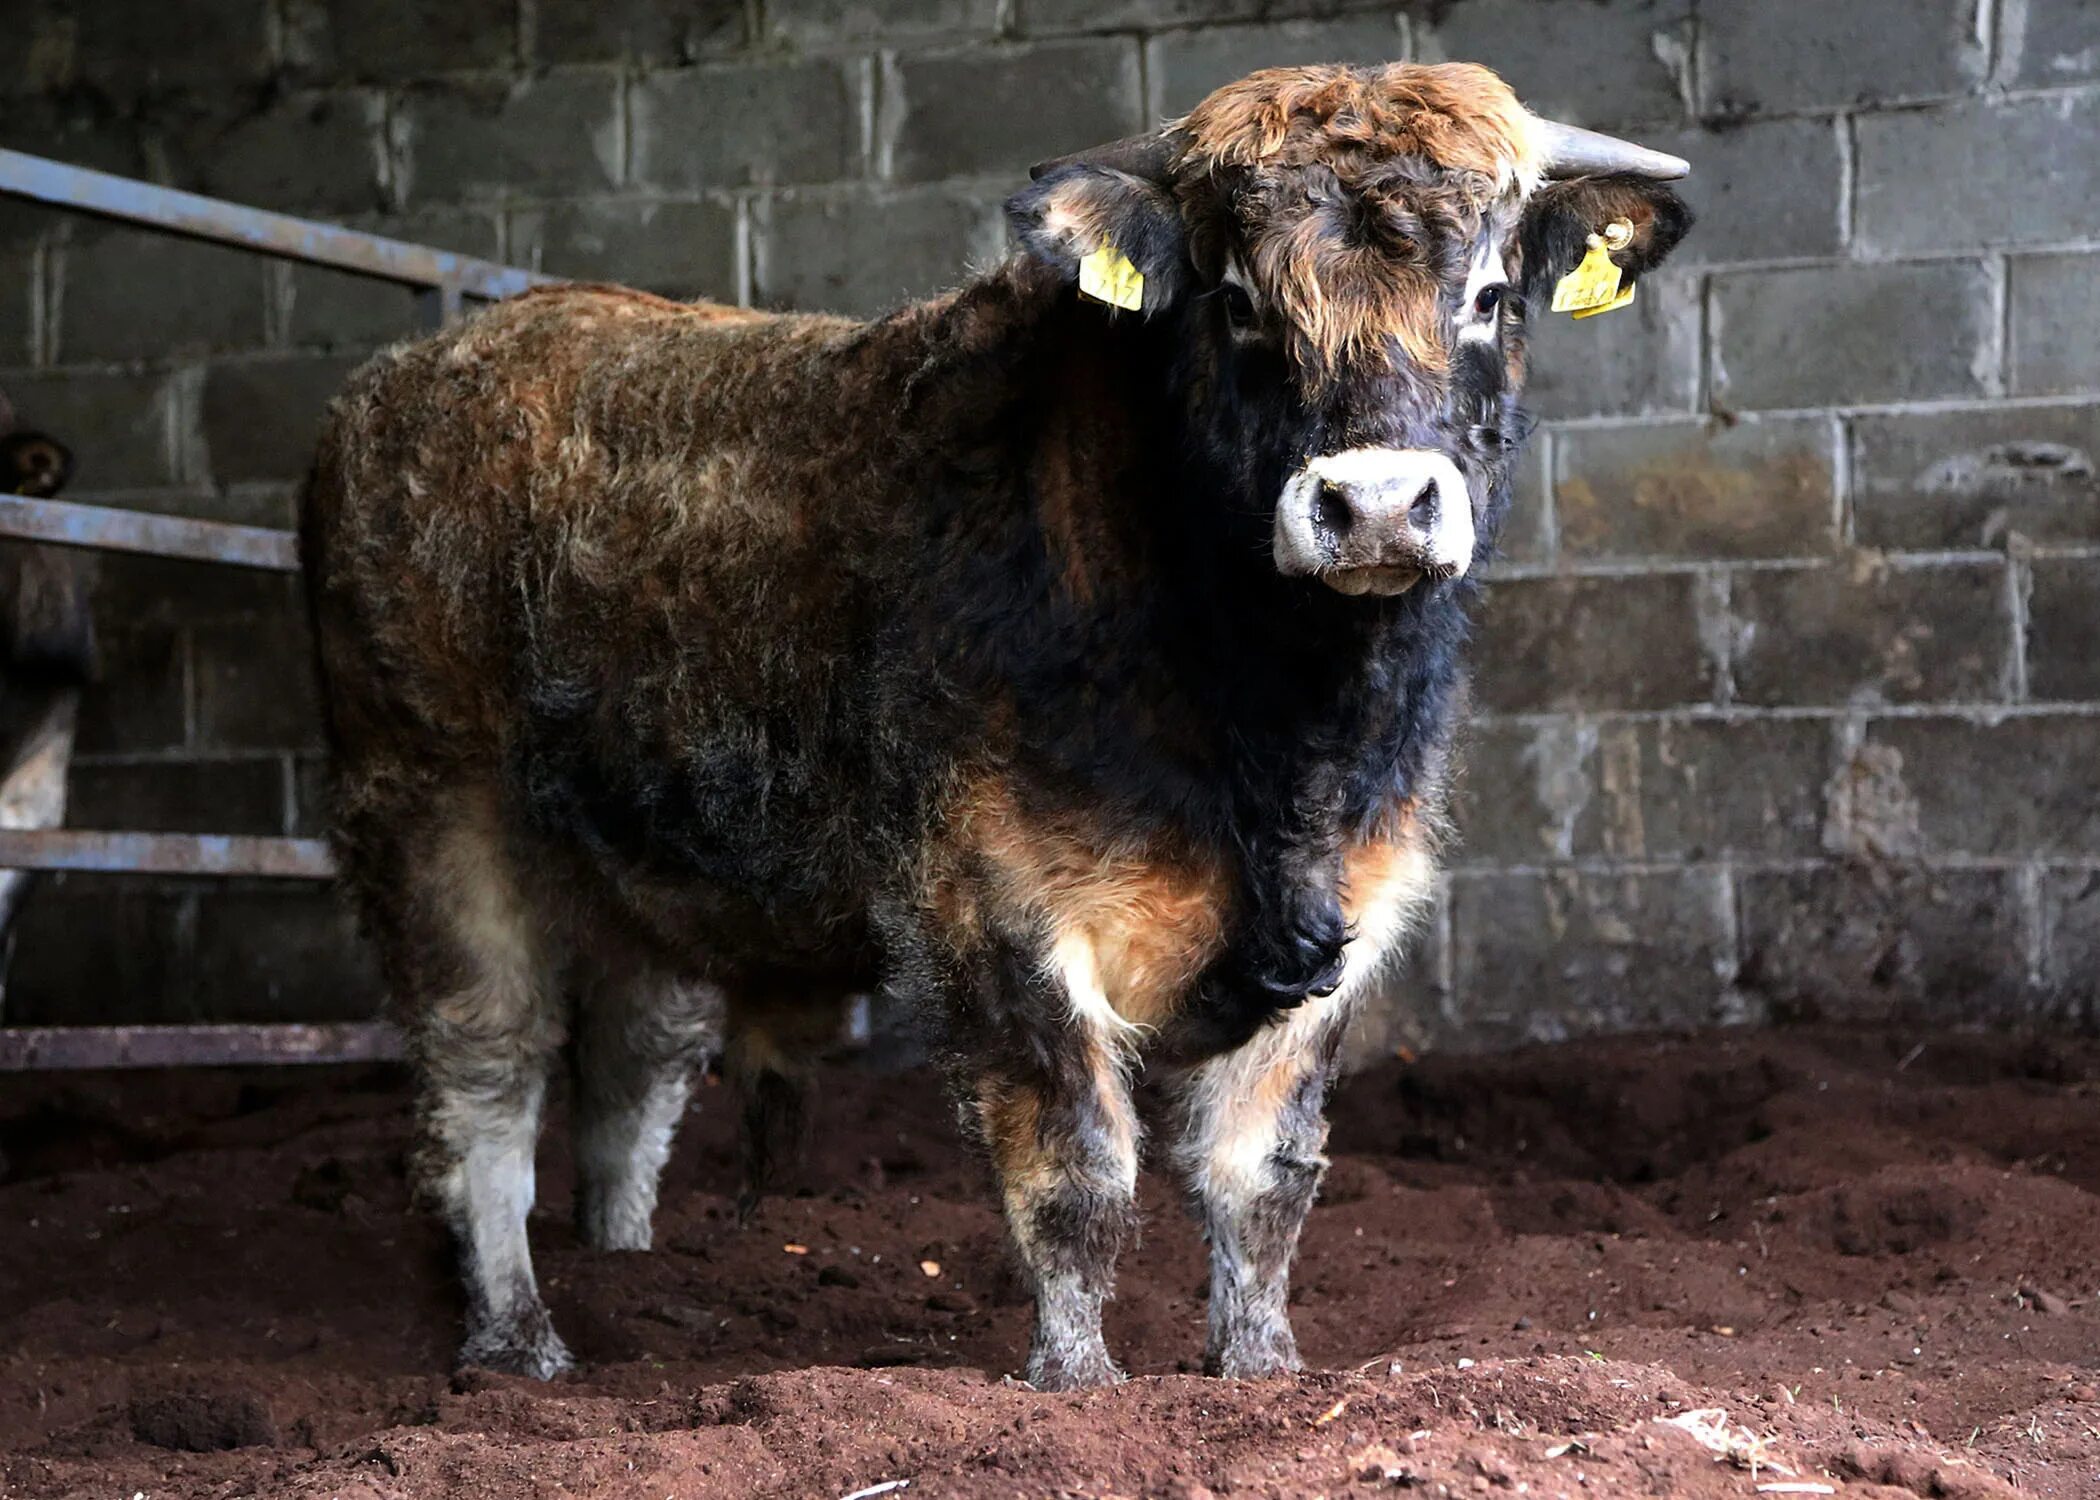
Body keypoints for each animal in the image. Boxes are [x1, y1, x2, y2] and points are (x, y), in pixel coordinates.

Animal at [304, 64, 1688, 1386]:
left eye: (1492, 295)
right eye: (1239, 301)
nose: (1380, 505)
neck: (1277, 727)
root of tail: (403, 380)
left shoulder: (1350, 907)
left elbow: (1264, 1180)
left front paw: (1262, 1371)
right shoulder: (998, 905)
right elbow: (1078, 1177)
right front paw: (1077, 1383)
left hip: (643, 871)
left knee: (635, 1066)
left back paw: (630, 1268)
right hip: (432, 820)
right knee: (485, 1078)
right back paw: (517, 1340)